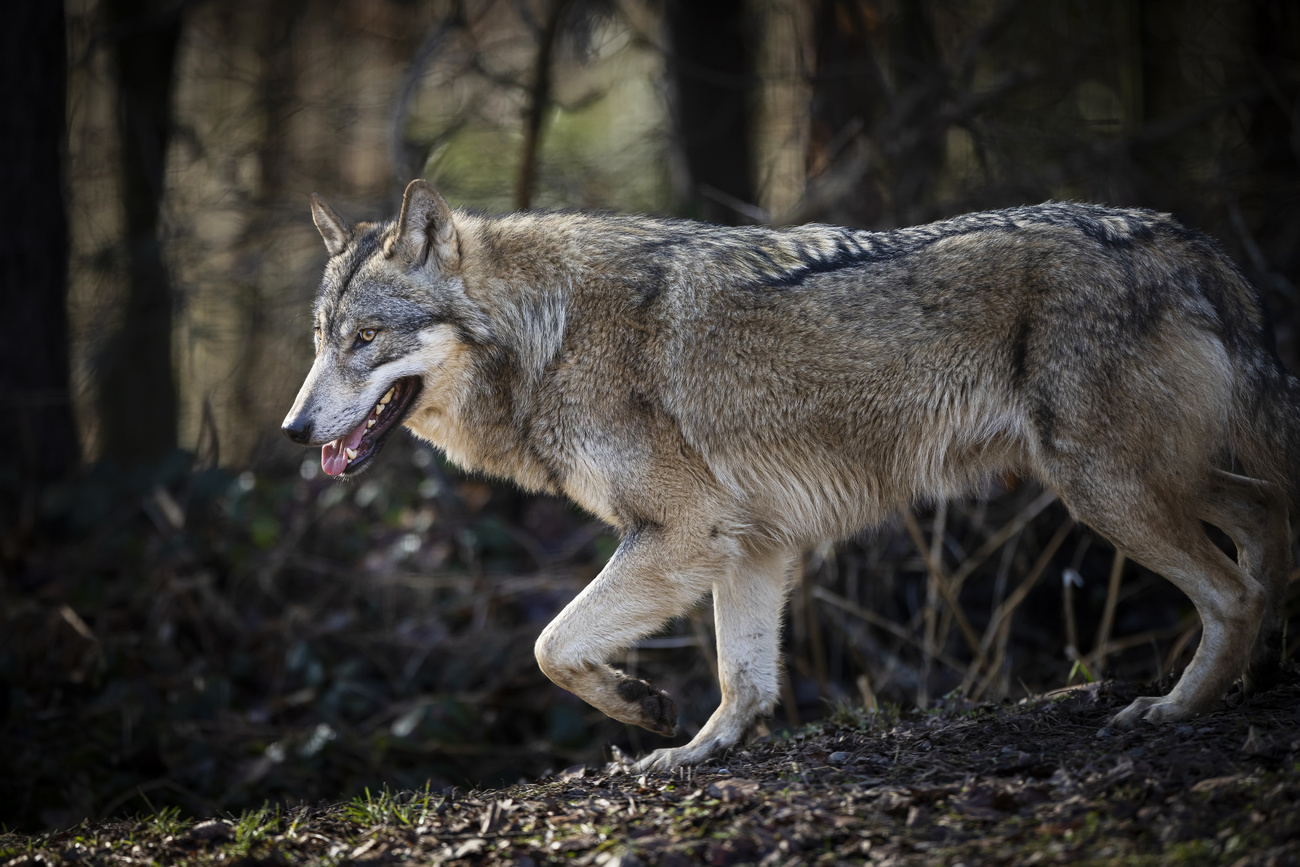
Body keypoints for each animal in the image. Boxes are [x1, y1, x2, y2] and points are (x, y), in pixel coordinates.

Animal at [287, 181, 1300, 774]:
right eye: (319, 340)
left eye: (365, 339)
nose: (295, 428)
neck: (549, 332)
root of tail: (1182, 238)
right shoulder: (751, 544)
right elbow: (743, 677)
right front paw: (698, 750)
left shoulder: (683, 532)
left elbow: (549, 644)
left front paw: (643, 706)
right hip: (1150, 479)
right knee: (1263, 527)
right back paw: (1256, 672)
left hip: (1105, 488)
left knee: (1232, 588)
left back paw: (1175, 708)